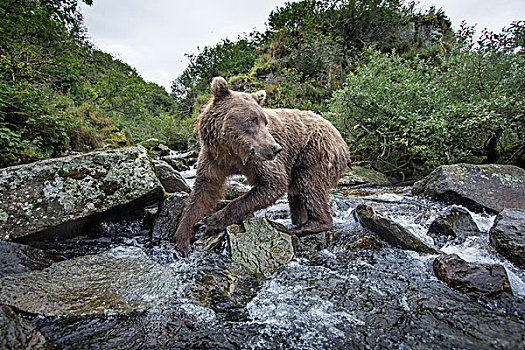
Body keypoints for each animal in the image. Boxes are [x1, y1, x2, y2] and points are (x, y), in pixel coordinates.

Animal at [174, 77, 350, 252]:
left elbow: (273, 183)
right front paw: (183, 237)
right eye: (251, 120)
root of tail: (339, 135)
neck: (233, 151)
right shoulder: (214, 156)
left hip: (314, 151)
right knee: (296, 193)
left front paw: (211, 221)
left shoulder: (258, 160)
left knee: (309, 184)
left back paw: (310, 225)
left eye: (265, 122)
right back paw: (299, 221)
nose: (276, 148)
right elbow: (203, 191)